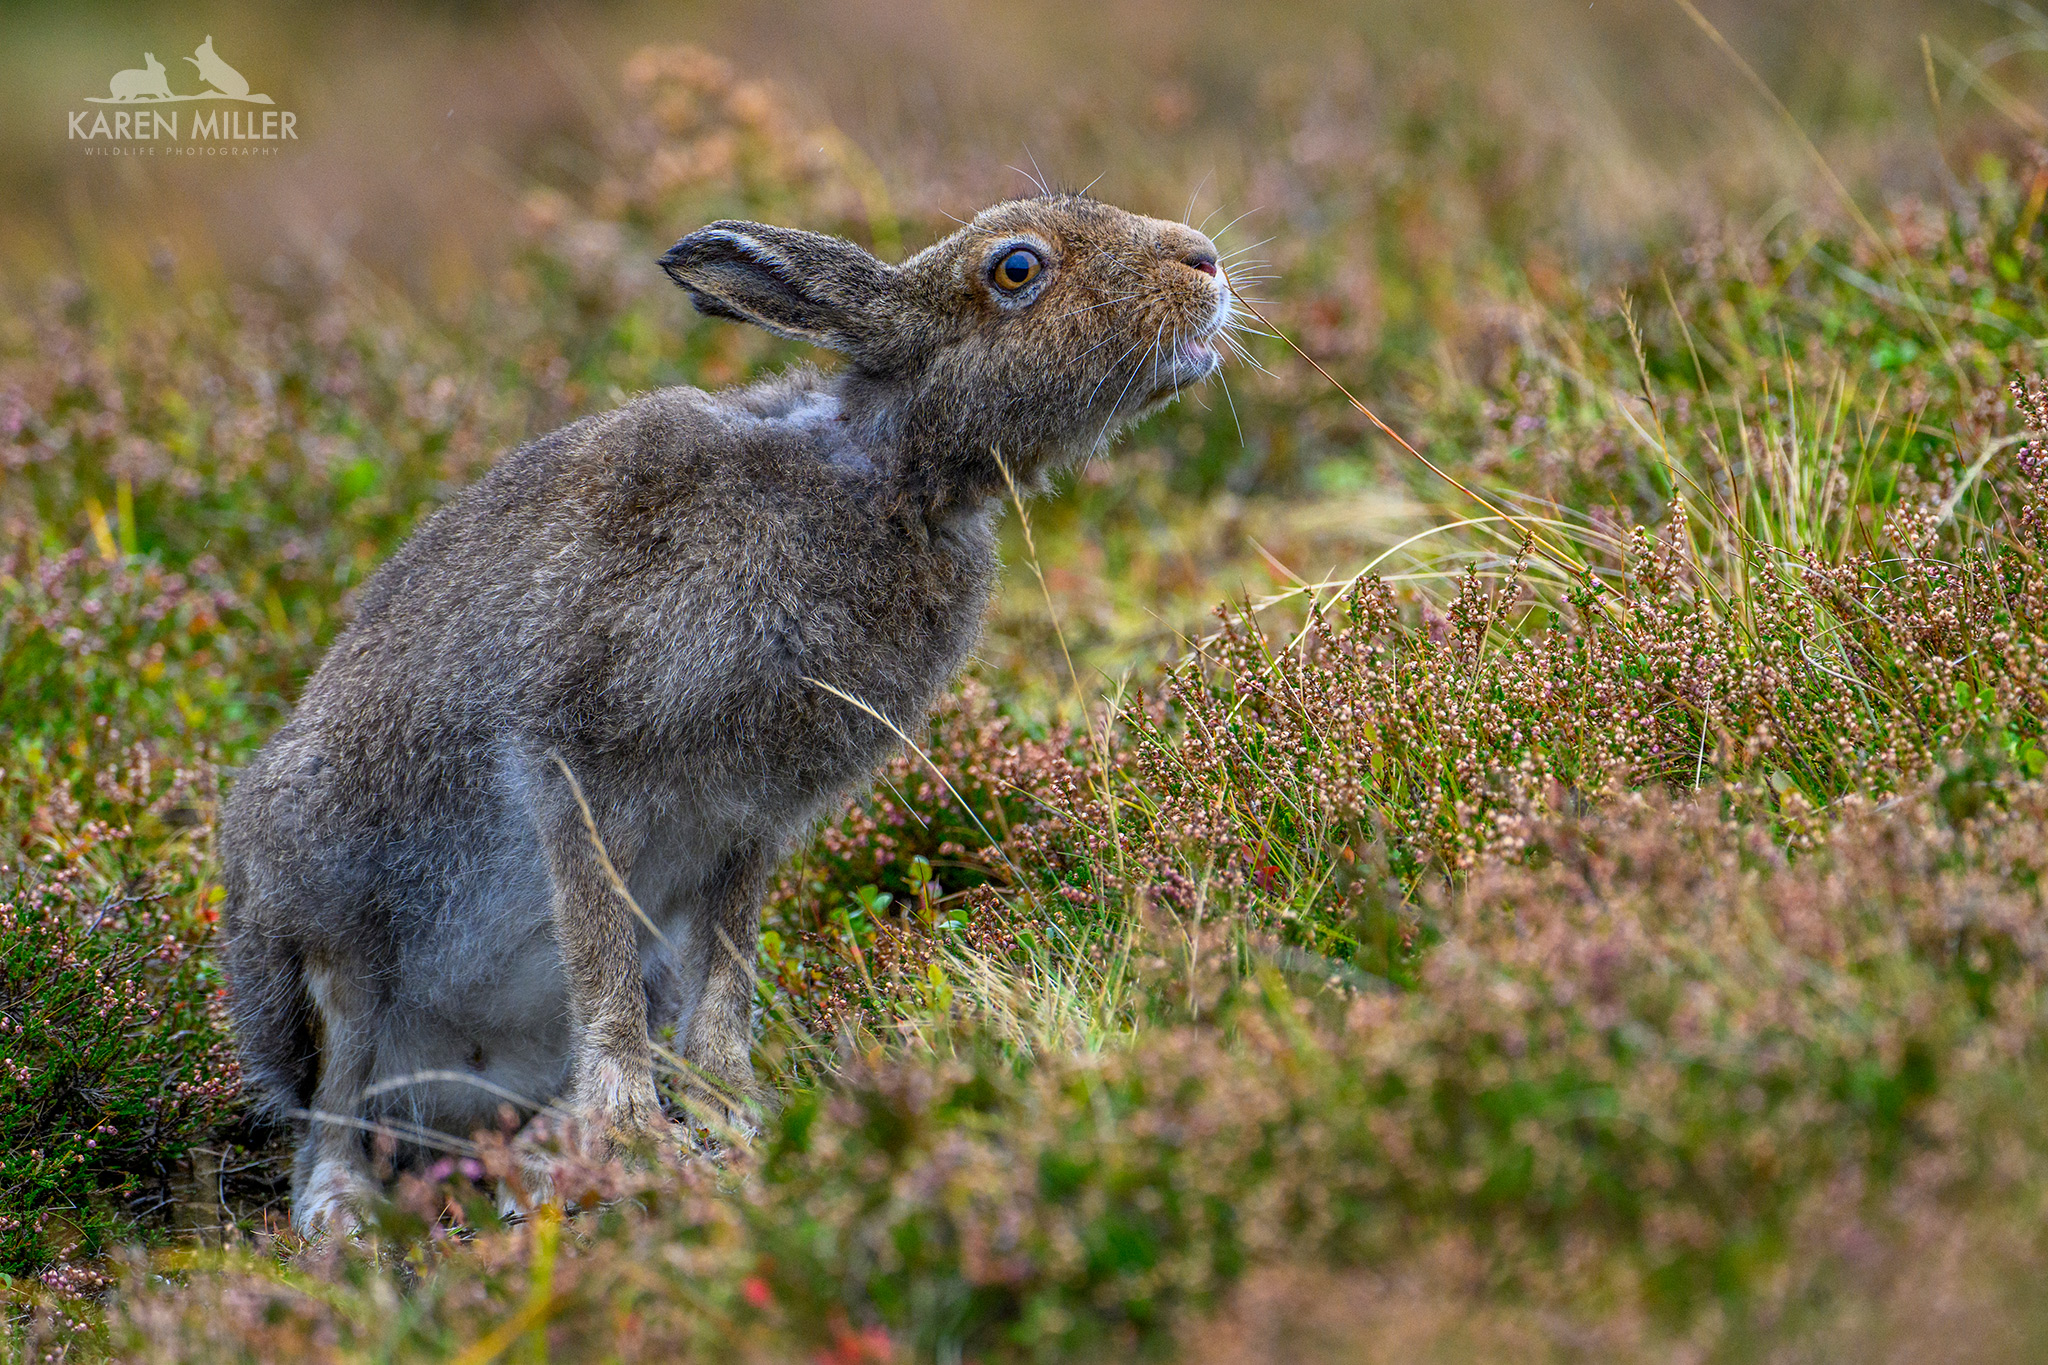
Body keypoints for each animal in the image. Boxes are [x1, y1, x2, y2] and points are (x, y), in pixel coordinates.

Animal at [218, 193, 1236, 1232]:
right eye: (1017, 268)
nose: (1205, 261)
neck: (892, 476)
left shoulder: (747, 824)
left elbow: (728, 971)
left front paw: (730, 1113)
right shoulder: (574, 765)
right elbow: (599, 953)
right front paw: (633, 1129)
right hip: (328, 935)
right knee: (333, 1106)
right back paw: (347, 1212)